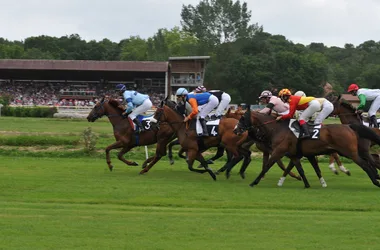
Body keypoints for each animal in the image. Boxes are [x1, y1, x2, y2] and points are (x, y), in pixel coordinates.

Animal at [233, 108, 380, 188]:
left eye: (242, 118)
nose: (235, 130)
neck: (277, 129)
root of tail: (349, 126)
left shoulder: (278, 151)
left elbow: (267, 166)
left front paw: (254, 182)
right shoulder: (294, 154)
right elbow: (300, 169)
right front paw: (307, 184)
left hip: (350, 152)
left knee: (366, 164)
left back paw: (375, 181)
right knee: (369, 162)